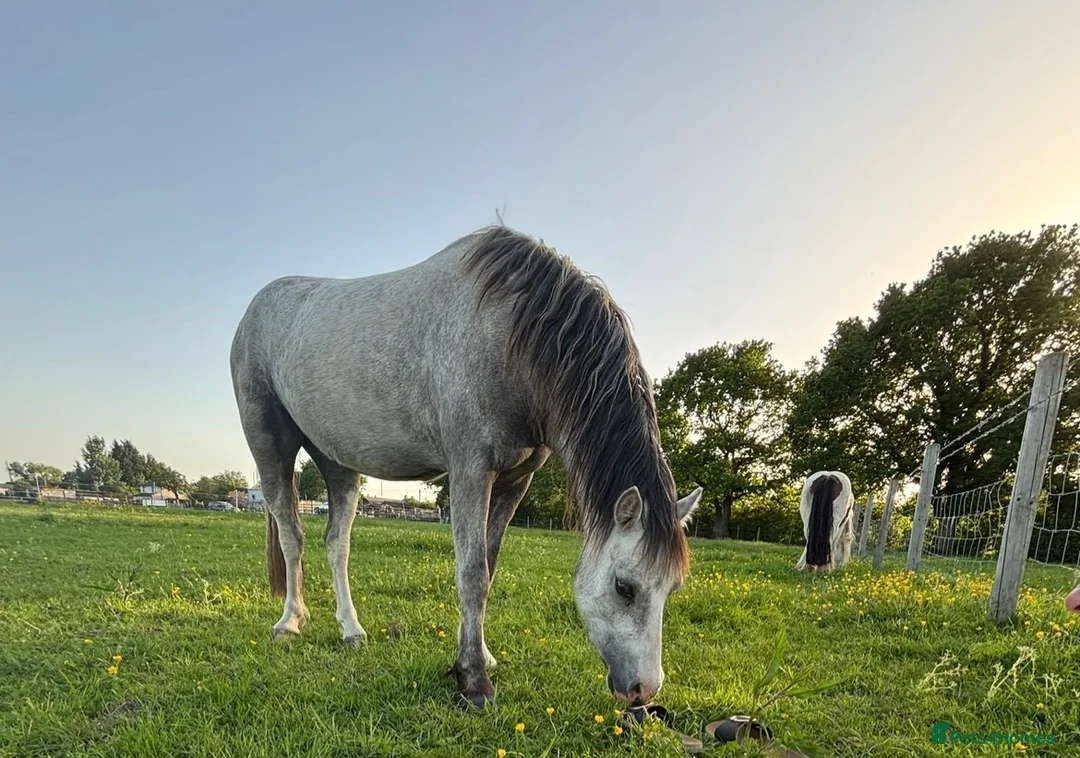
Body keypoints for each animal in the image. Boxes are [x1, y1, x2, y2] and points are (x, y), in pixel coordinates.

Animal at [230, 225, 703, 709]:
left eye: (673, 588)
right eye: (625, 587)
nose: (644, 690)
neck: (513, 337)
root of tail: (257, 307)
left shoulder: (515, 481)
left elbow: (488, 568)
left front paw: (477, 657)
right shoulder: (470, 470)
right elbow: (471, 573)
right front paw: (474, 681)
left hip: (338, 461)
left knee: (336, 544)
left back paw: (351, 630)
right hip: (270, 444)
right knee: (291, 535)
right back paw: (290, 622)